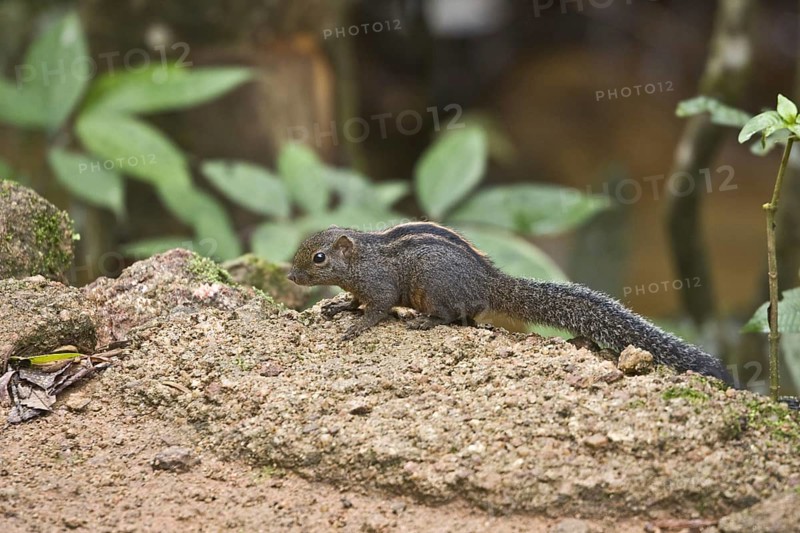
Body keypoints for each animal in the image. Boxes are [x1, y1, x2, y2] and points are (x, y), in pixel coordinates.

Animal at [287, 222, 732, 384]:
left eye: (318, 257)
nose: (291, 277)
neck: (363, 258)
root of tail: (490, 281)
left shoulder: (379, 287)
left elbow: (377, 309)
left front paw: (356, 327)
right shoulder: (359, 288)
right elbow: (353, 301)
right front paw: (339, 308)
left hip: (437, 290)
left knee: (454, 316)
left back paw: (426, 321)